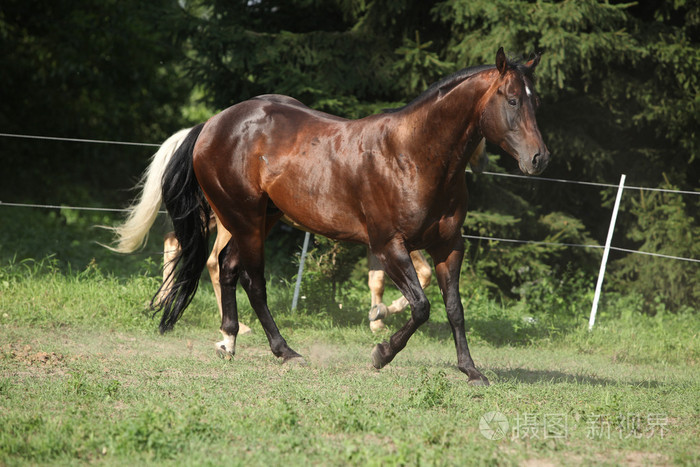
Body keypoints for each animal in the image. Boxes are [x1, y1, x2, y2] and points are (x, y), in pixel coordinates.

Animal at [135, 48, 552, 384]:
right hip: (244, 220)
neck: (414, 155)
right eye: (512, 100)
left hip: (260, 219)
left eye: (536, 103)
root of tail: (211, 124)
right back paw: (285, 352)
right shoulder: (389, 246)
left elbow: (454, 309)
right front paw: (381, 353)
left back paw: (229, 340)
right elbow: (421, 306)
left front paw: (471, 370)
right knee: (250, 280)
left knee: (228, 266)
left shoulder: (449, 246)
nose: (539, 158)